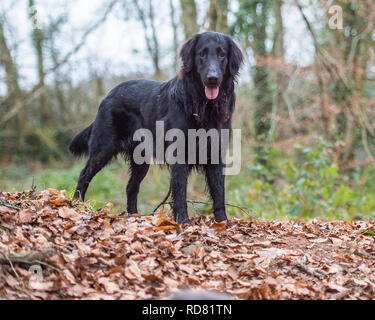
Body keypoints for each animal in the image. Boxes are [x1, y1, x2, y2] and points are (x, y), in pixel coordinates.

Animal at [69, 31, 245, 224]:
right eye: (202, 54)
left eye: (222, 54)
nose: (212, 78)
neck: (202, 105)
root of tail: (108, 96)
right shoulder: (179, 153)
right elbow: (180, 190)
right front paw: (183, 220)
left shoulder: (215, 152)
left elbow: (219, 191)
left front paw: (223, 222)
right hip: (103, 148)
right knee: (84, 175)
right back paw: (77, 204)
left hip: (141, 159)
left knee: (131, 186)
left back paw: (133, 215)